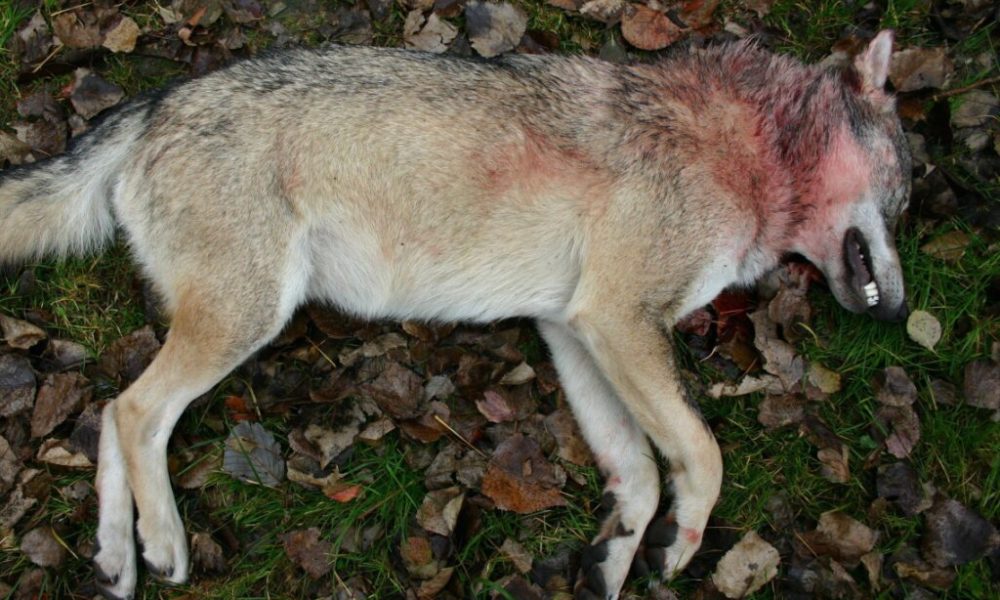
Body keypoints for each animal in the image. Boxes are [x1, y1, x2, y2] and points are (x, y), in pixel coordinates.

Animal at [0, 30, 909, 599]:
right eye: (908, 189)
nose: (901, 316)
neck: (751, 147)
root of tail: (153, 102)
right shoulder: (616, 319)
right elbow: (704, 458)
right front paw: (680, 547)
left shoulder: (574, 329)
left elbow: (642, 476)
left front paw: (616, 558)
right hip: (247, 318)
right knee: (135, 412)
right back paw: (162, 544)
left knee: (109, 415)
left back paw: (116, 561)